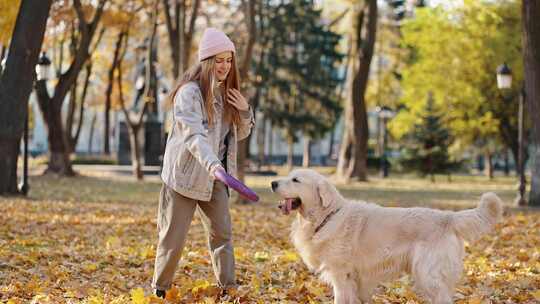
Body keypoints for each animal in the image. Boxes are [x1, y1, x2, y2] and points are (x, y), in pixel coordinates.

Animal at [272, 170, 504, 302]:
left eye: (295, 180)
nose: (272, 183)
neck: (327, 216)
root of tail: (448, 217)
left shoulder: (341, 275)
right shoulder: (358, 281)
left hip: (428, 275)